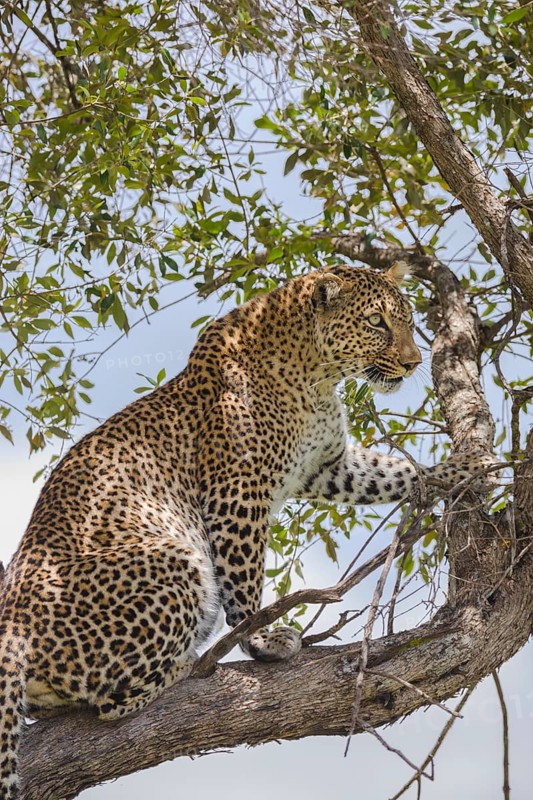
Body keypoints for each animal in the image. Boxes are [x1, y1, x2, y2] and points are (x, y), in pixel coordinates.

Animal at [0, 263, 496, 797]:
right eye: (377, 323)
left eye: (407, 321)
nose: (412, 362)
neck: (318, 375)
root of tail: (11, 628)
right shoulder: (237, 494)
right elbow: (245, 584)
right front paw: (261, 643)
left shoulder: (329, 466)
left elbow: (397, 472)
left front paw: (466, 465)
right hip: (176, 562)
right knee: (111, 702)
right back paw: (186, 666)